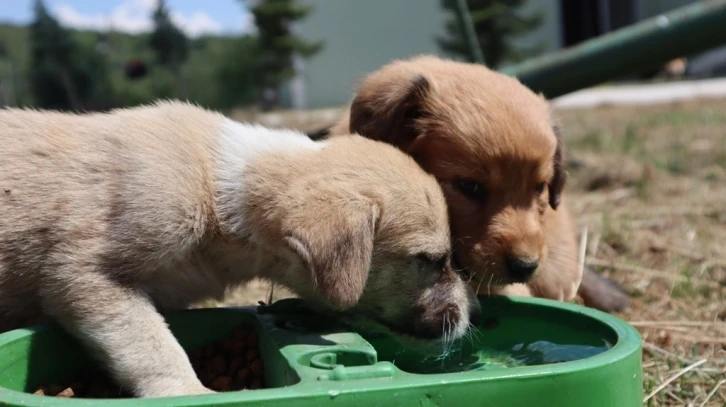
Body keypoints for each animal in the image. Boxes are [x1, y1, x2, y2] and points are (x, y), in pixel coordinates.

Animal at [1, 101, 484, 398]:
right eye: (430, 260)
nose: (471, 315)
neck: (221, 191)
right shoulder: (86, 275)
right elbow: (153, 345)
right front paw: (191, 393)